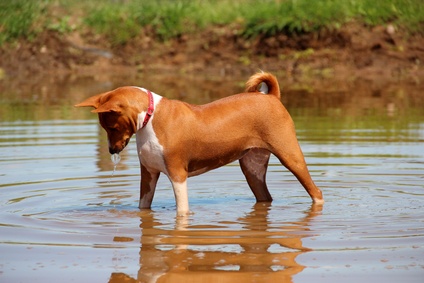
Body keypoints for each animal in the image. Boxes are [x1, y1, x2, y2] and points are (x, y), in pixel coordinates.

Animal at [75, 73, 322, 215]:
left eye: (112, 128)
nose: (111, 150)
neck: (150, 119)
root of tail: (271, 97)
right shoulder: (149, 174)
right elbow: (143, 207)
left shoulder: (177, 174)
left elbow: (182, 212)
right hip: (252, 167)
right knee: (265, 198)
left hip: (290, 156)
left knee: (316, 192)